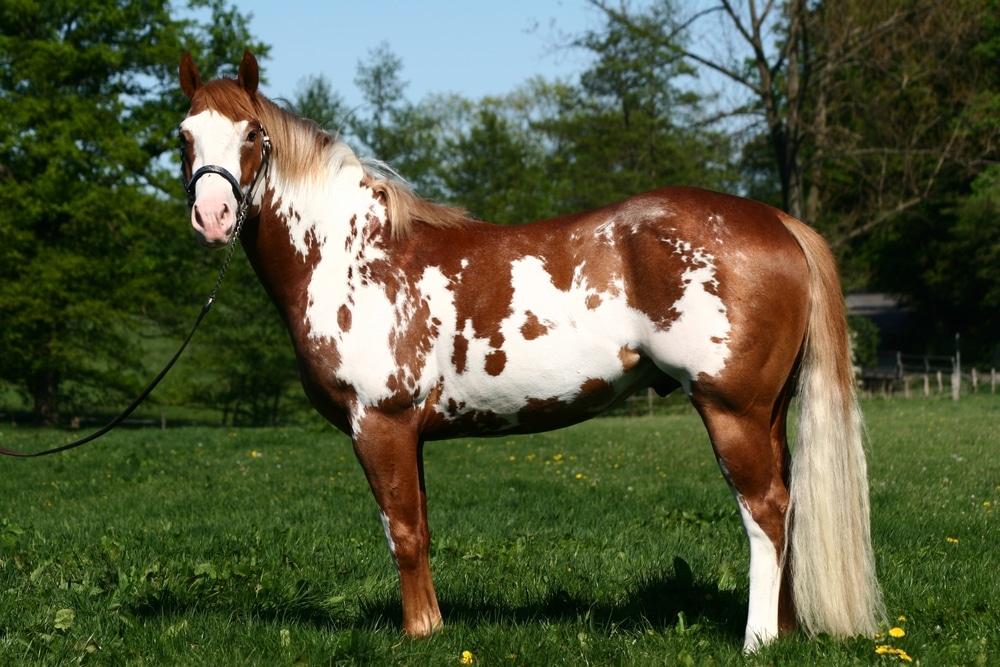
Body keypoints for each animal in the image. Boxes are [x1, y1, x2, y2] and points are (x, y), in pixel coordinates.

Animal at [178, 51, 884, 652]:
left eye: (251, 134)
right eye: (184, 136)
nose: (212, 216)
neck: (354, 256)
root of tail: (776, 221)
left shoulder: (379, 422)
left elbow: (401, 532)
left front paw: (418, 635)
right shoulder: (409, 433)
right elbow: (422, 528)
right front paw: (434, 626)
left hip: (732, 409)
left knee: (765, 510)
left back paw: (757, 640)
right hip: (767, 411)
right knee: (786, 506)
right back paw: (785, 633)